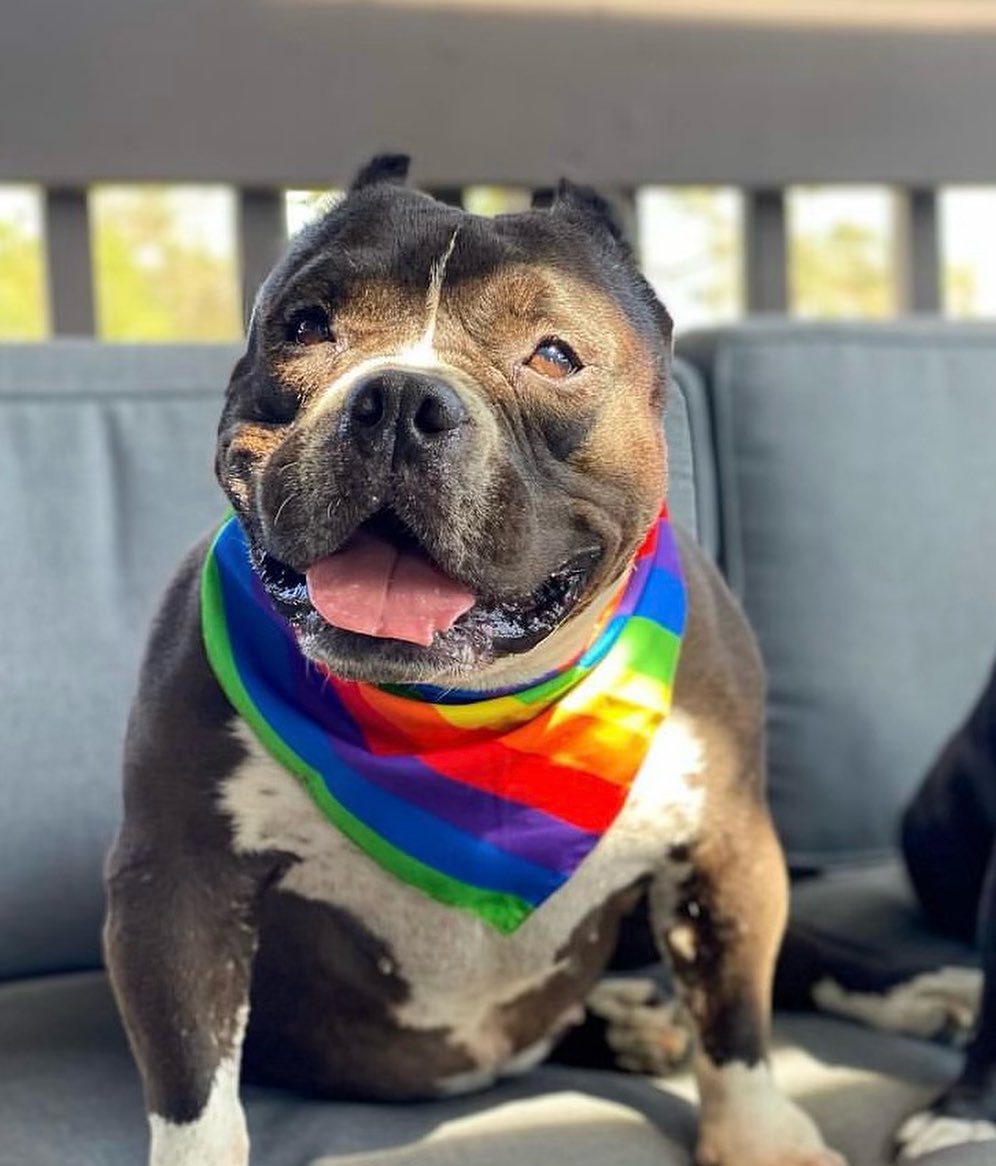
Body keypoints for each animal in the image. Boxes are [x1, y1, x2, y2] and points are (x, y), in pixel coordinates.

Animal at [105, 157, 844, 1166]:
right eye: (306, 325)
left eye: (555, 356)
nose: (398, 401)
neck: (460, 706)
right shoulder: (177, 880)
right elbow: (195, 1090)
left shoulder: (726, 846)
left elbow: (736, 1016)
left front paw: (761, 1139)